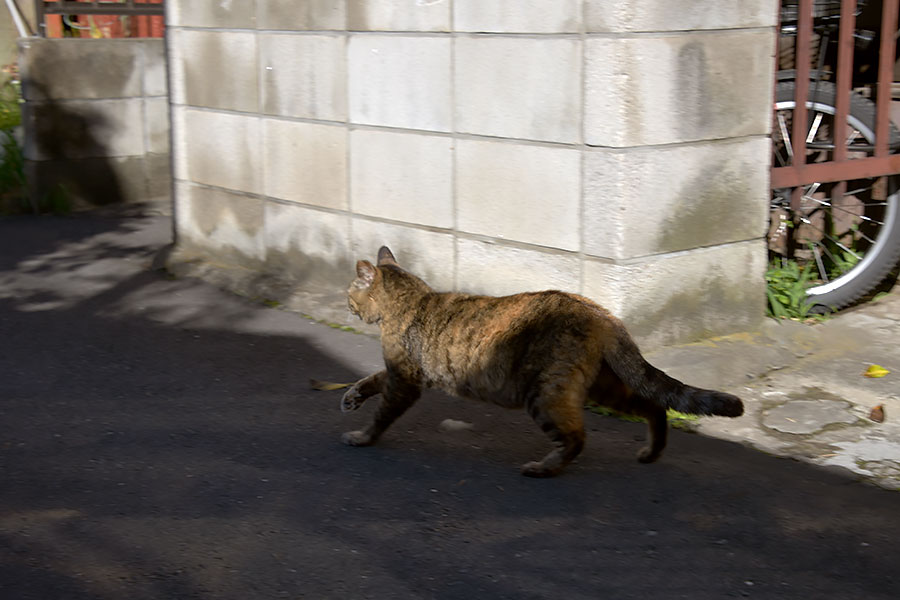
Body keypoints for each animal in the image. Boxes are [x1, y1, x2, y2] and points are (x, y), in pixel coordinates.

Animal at [342, 245, 740, 478]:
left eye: (349, 294)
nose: (347, 304)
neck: (409, 299)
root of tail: (602, 313)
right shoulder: (400, 374)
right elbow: (371, 380)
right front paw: (351, 397)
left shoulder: (405, 380)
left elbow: (381, 415)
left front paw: (362, 436)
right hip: (603, 386)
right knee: (652, 405)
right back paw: (651, 452)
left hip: (546, 393)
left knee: (577, 437)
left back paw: (542, 468)